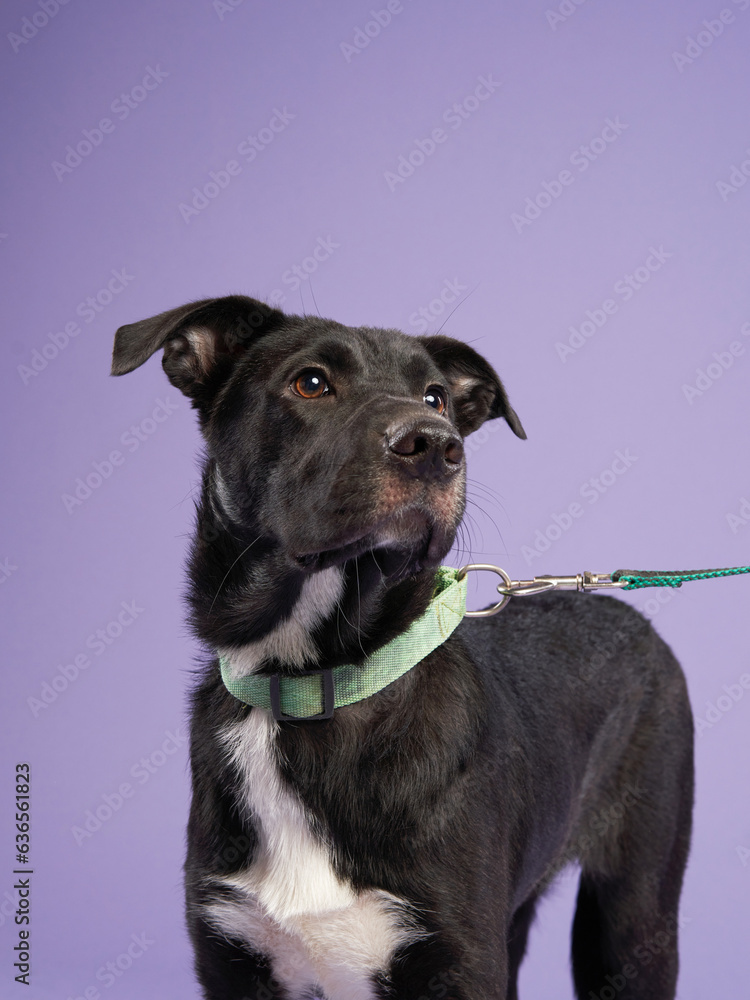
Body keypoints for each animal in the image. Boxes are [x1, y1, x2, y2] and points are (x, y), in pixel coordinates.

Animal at [110, 296, 692, 1000]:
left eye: (436, 397)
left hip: (633, 915)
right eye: (311, 382)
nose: (434, 443)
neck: (311, 682)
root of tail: (625, 607)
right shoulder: (232, 955)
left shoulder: (459, 960)